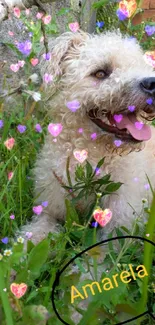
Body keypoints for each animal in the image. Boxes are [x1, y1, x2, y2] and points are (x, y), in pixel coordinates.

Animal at [20, 30, 155, 243]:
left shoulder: (121, 224)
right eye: (100, 73)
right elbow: (34, 234)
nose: (152, 83)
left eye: (140, 66)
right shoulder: (48, 210)